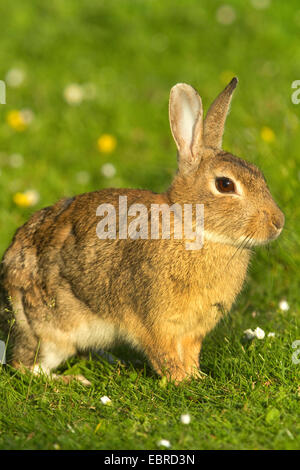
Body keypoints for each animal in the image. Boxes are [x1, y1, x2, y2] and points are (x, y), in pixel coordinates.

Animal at [0, 77, 284, 384]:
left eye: (259, 174)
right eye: (225, 185)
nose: (278, 222)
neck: (193, 226)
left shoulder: (192, 330)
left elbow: (190, 352)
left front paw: (197, 377)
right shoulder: (152, 320)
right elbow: (163, 353)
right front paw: (180, 380)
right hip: (46, 330)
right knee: (25, 367)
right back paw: (72, 379)